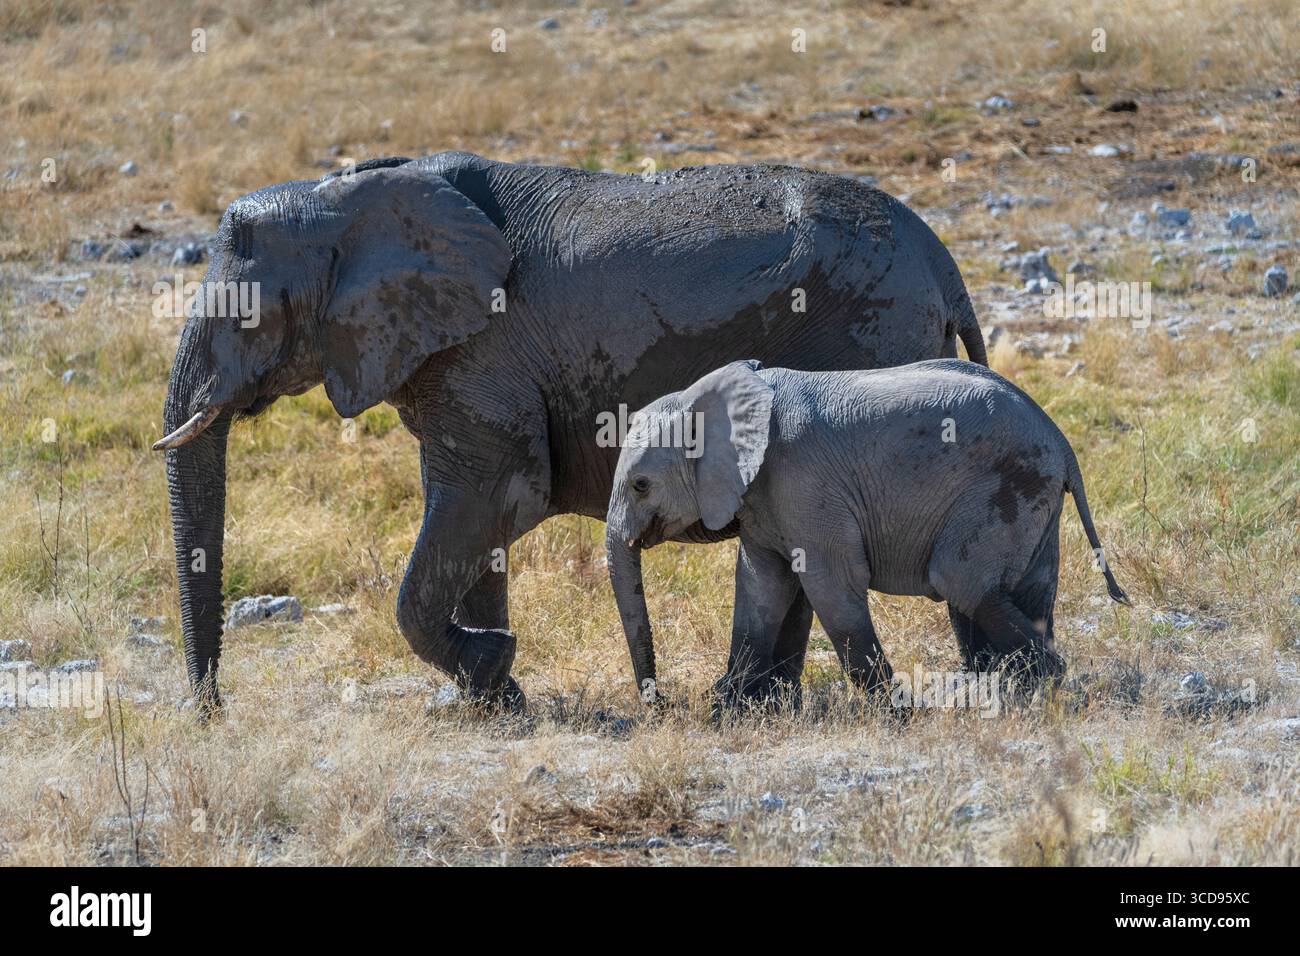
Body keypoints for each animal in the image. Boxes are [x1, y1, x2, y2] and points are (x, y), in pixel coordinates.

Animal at [154, 151, 988, 715]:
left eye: (249, 318)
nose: (211, 712)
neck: (343, 196)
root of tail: (944, 264)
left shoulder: (483, 355)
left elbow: (489, 501)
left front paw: (494, 668)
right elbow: (473, 520)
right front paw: (493, 701)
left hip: (868, 338)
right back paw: (754, 703)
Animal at [605, 359, 1129, 707]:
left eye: (641, 485)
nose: (661, 703)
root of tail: (1062, 442)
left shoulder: (804, 483)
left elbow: (831, 586)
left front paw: (894, 714)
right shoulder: (761, 498)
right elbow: (760, 588)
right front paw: (726, 709)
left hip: (1004, 486)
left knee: (961, 581)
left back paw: (1040, 688)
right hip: (1034, 494)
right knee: (1027, 590)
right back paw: (1017, 691)